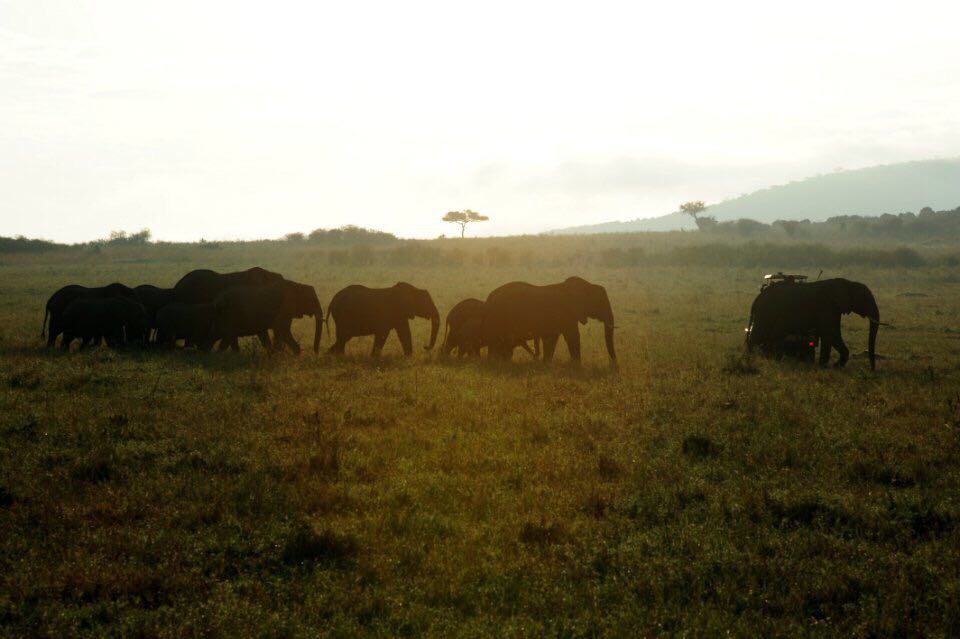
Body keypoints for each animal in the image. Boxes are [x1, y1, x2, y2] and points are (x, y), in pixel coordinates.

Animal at [484, 276, 620, 364]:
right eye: (600, 303)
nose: (614, 366)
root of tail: (489, 297)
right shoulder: (566, 313)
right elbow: (573, 336)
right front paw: (577, 366)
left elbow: (552, 338)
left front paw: (547, 363)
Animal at [744, 276, 884, 370]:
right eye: (864, 298)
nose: (872, 369)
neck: (848, 283)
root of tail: (758, 298)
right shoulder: (827, 307)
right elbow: (830, 333)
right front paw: (827, 366)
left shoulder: (834, 310)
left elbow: (831, 334)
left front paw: (832, 366)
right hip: (766, 312)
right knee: (759, 335)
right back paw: (753, 359)